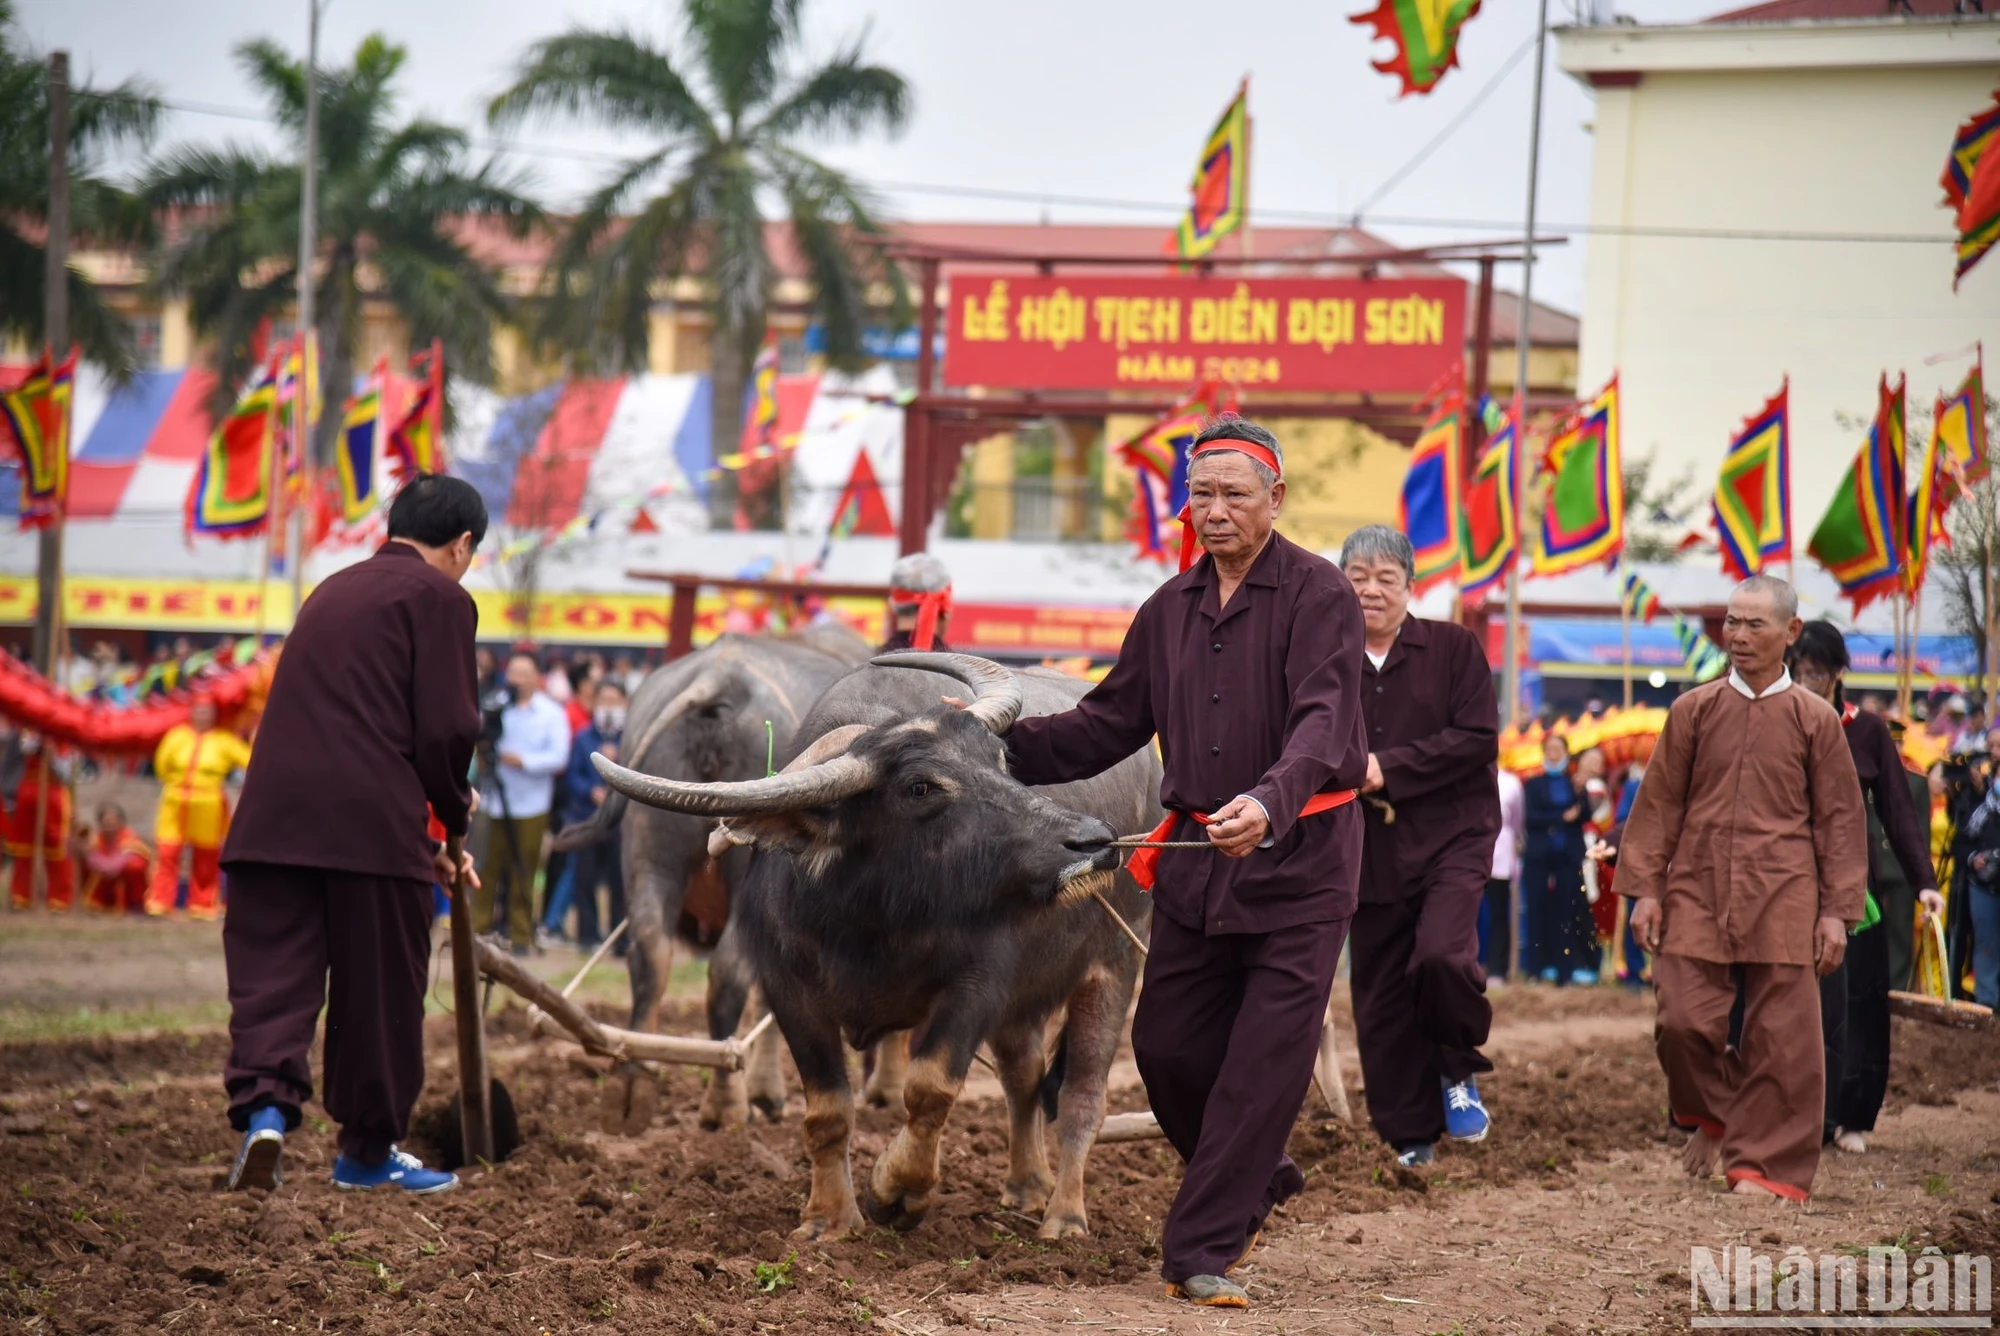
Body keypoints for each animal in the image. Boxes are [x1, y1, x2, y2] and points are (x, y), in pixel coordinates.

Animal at [556, 632, 868, 1136]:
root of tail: (716, 682)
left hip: (649, 856)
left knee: (650, 959)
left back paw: (632, 1084)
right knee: (727, 974)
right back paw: (726, 1103)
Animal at [584, 652, 1168, 1240]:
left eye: (1001, 760)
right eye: (921, 788)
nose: (1094, 841)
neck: (873, 918)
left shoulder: (979, 985)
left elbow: (929, 1087)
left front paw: (896, 1189)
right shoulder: (789, 990)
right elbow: (827, 1109)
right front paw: (828, 1218)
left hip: (1115, 963)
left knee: (1081, 1097)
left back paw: (1064, 1215)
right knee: (1022, 1075)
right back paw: (1027, 1185)